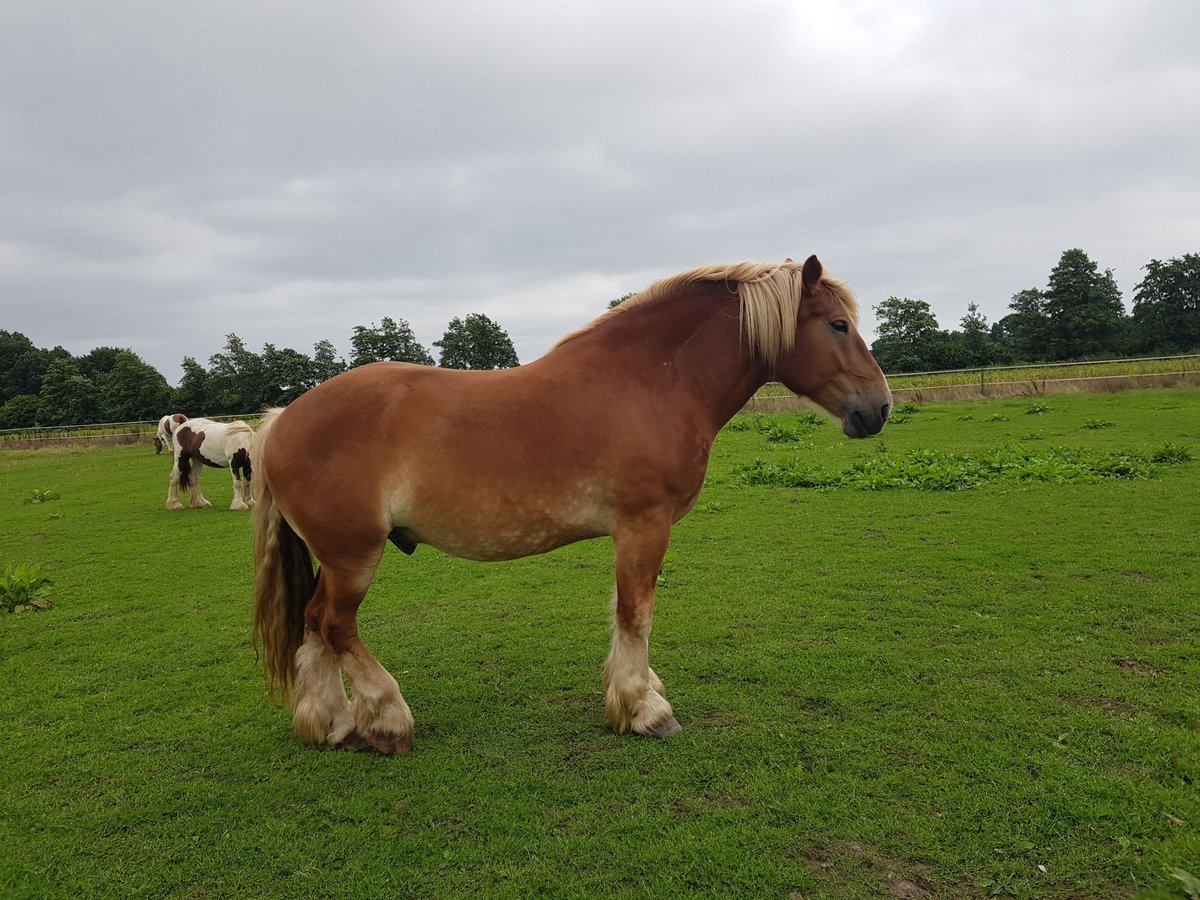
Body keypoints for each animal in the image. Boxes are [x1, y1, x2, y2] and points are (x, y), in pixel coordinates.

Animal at [255, 256, 892, 758]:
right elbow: (637, 613)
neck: (651, 381)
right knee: (335, 625)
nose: (880, 408)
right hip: (353, 556)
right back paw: (387, 721)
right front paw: (645, 711)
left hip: (336, 559)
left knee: (313, 625)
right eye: (838, 324)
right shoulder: (644, 526)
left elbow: (624, 612)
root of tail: (281, 421)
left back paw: (333, 725)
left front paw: (640, 692)